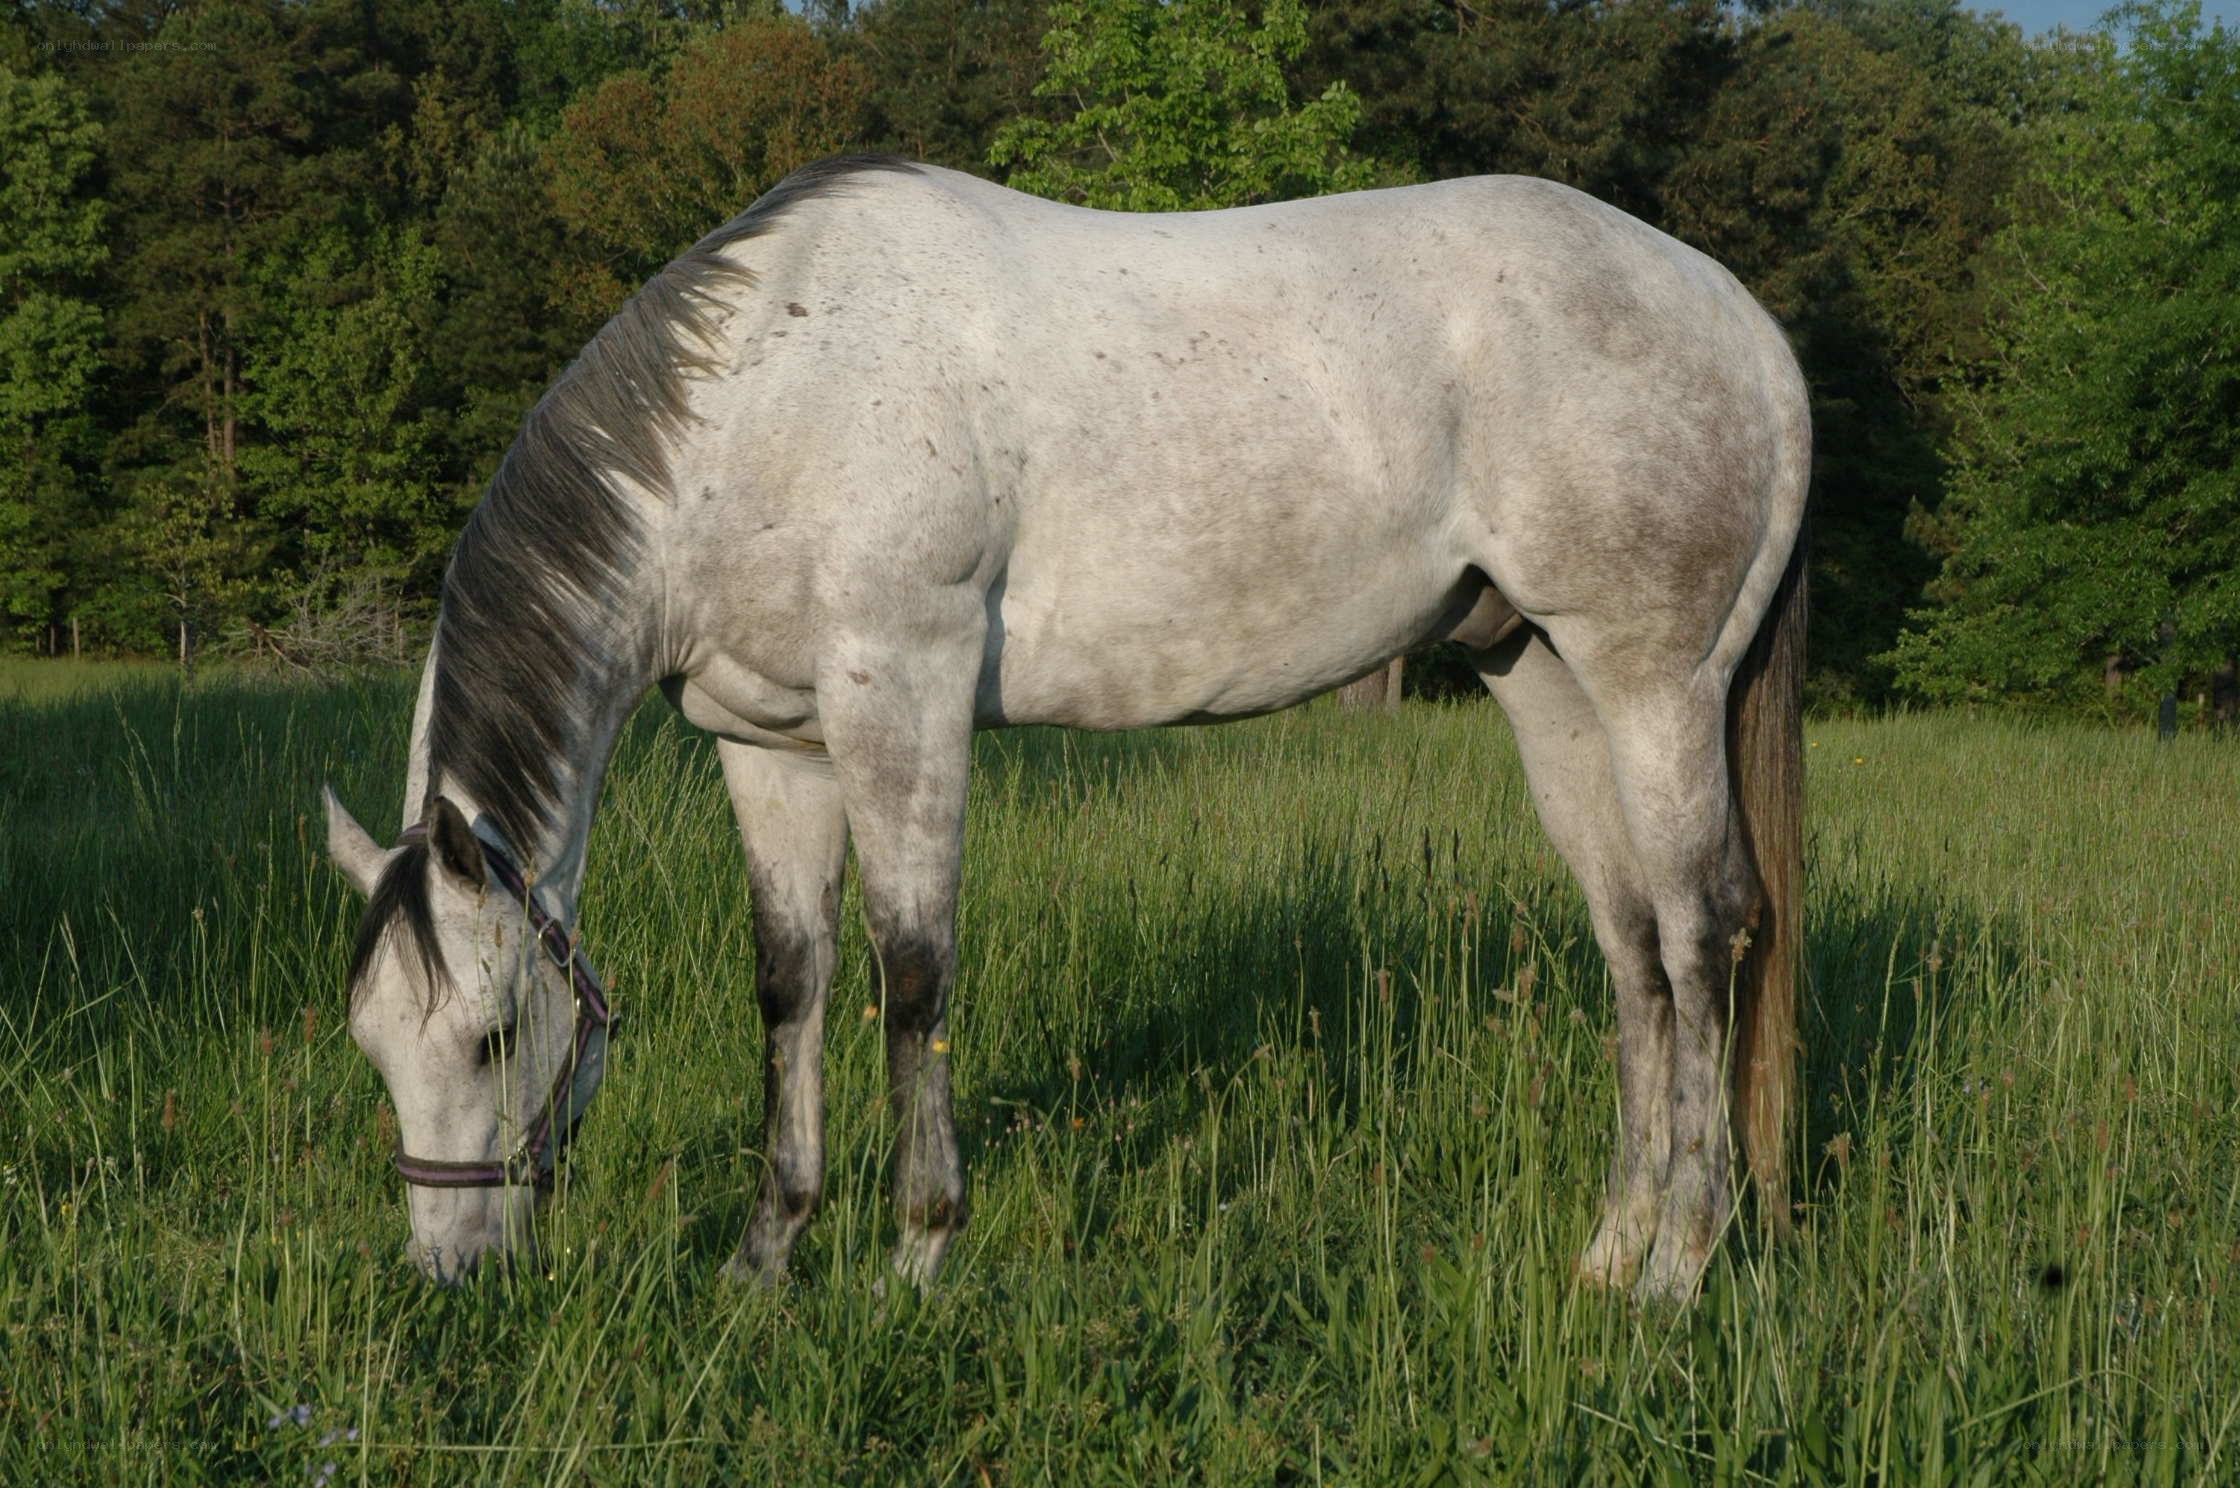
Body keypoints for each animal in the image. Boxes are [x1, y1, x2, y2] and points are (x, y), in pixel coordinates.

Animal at [324, 156, 1808, 1302]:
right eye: (370, 1046)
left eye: (493, 1036)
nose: (448, 1270)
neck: (762, 400)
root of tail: (1744, 326)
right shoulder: (771, 744)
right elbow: (792, 985)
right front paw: (764, 1258)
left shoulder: (901, 695)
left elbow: (911, 973)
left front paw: (916, 1256)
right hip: (1544, 678)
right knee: (1632, 948)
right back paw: (1609, 1253)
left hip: (1652, 686)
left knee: (1703, 934)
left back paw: (1677, 1269)